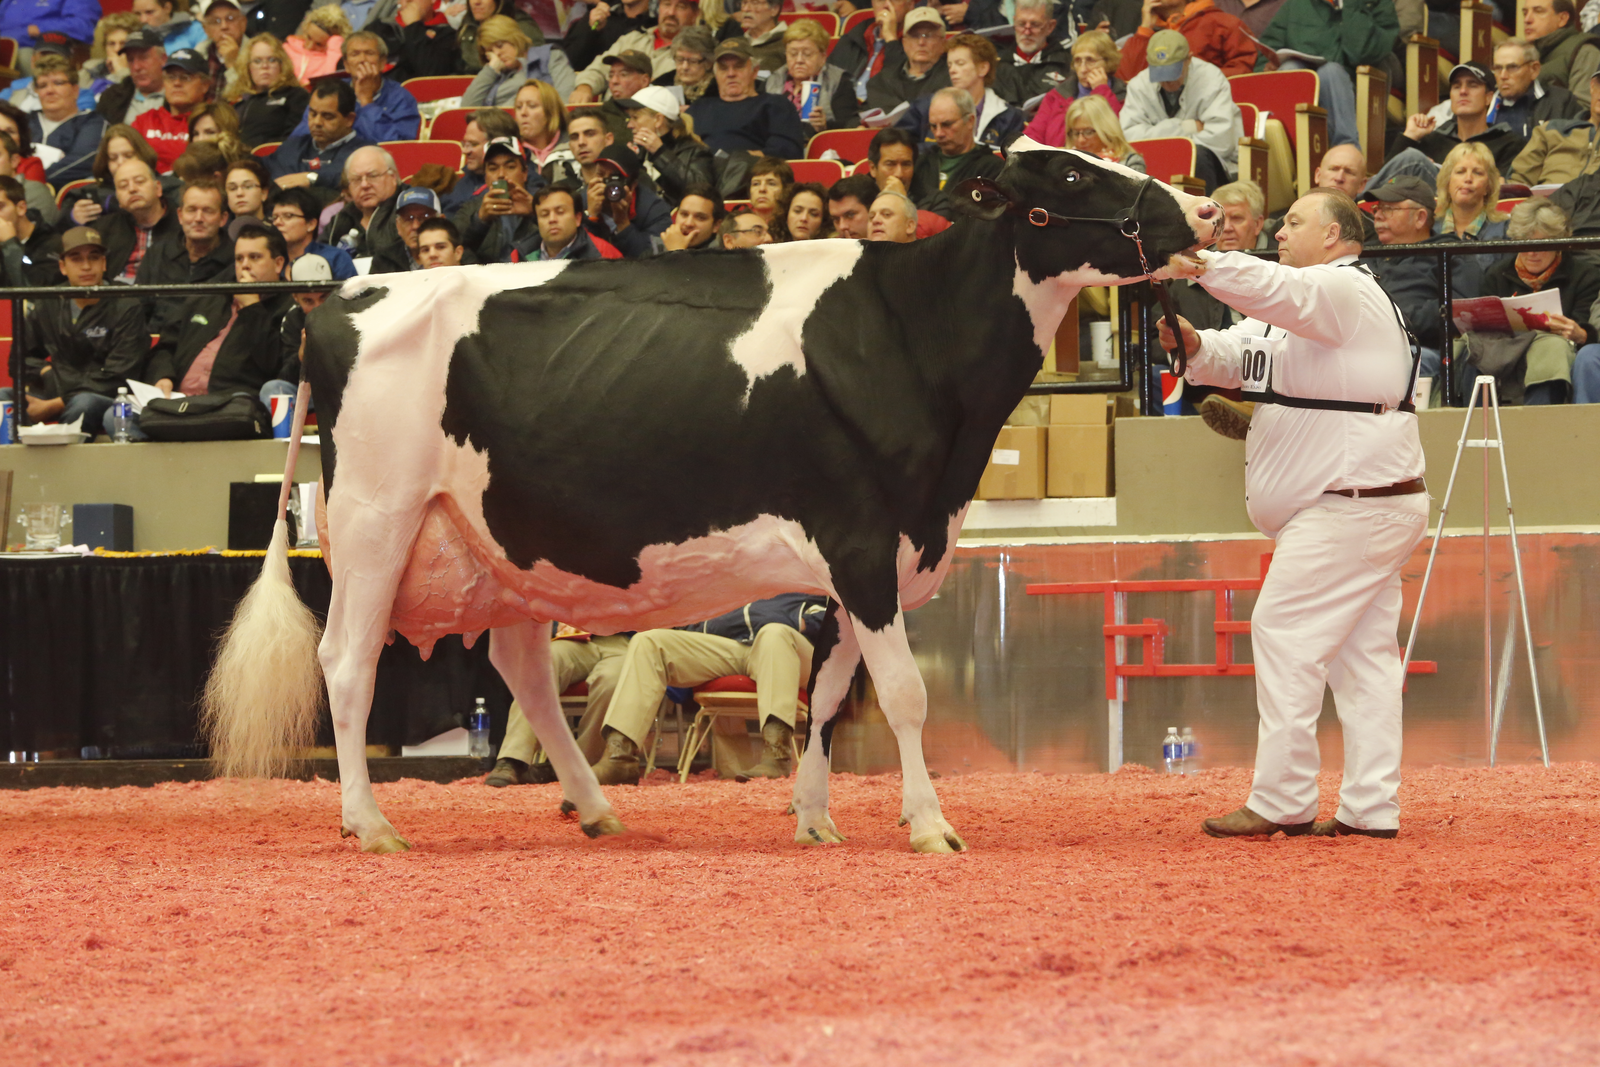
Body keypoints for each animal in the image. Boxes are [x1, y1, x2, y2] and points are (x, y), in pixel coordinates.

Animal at [206, 141, 1216, 857]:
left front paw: (813, 816)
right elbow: (901, 693)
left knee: (520, 667)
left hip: (506, 543)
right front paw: (930, 823)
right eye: (1072, 171)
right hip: (376, 521)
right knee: (347, 663)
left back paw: (597, 807)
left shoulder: (874, 557)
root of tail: (335, 303)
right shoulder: (863, 541)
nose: (1203, 204)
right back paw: (371, 822)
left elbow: (828, 691)